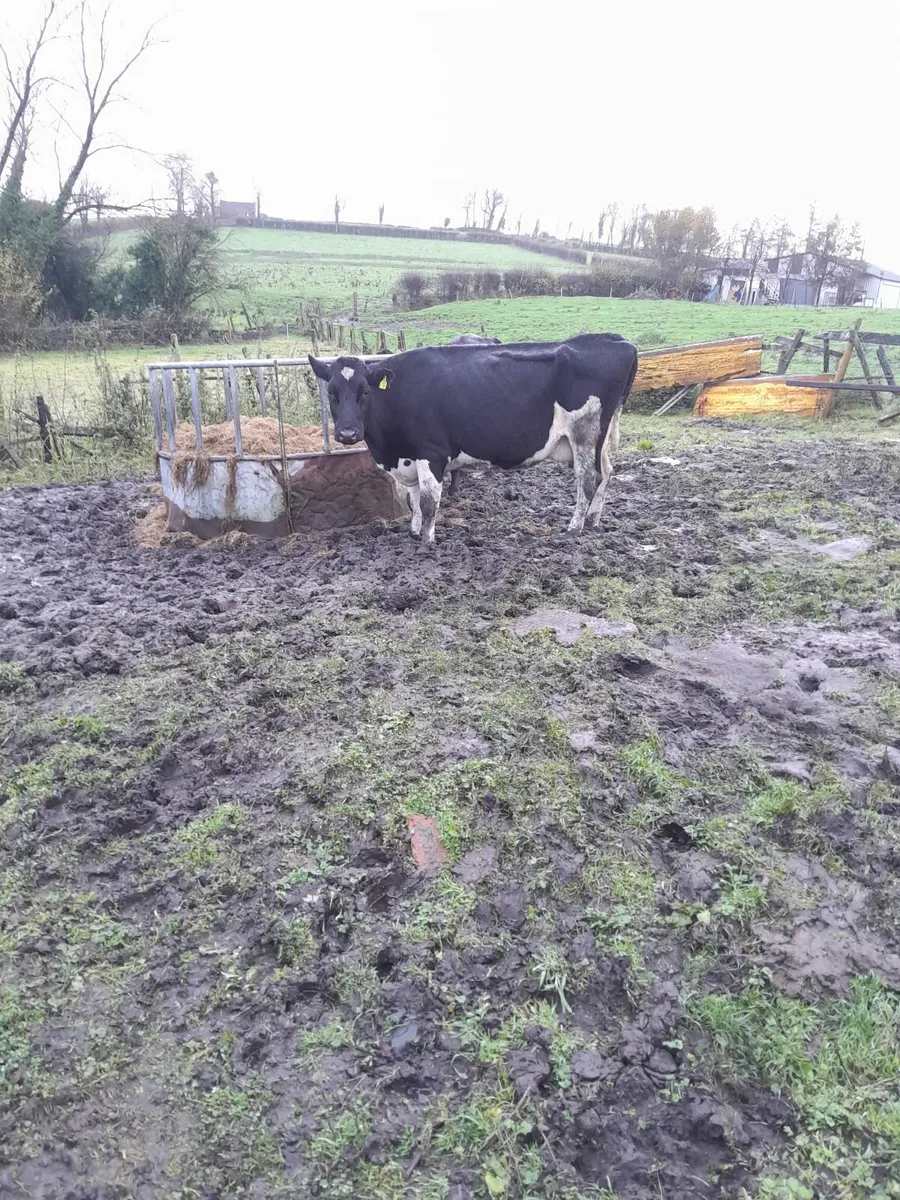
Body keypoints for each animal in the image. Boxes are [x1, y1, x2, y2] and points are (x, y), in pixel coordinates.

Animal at [308, 332, 638, 547]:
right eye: (332, 393)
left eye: (365, 392)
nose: (347, 433)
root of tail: (615, 341)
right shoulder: (409, 458)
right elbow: (412, 499)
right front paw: (414, 532)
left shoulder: (432, 452)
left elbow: (428, 501)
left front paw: (427, 541)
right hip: (602, 436)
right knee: (607, 473)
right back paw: (593, 521)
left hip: (585, 433)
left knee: (588, 479)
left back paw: (573, 529)